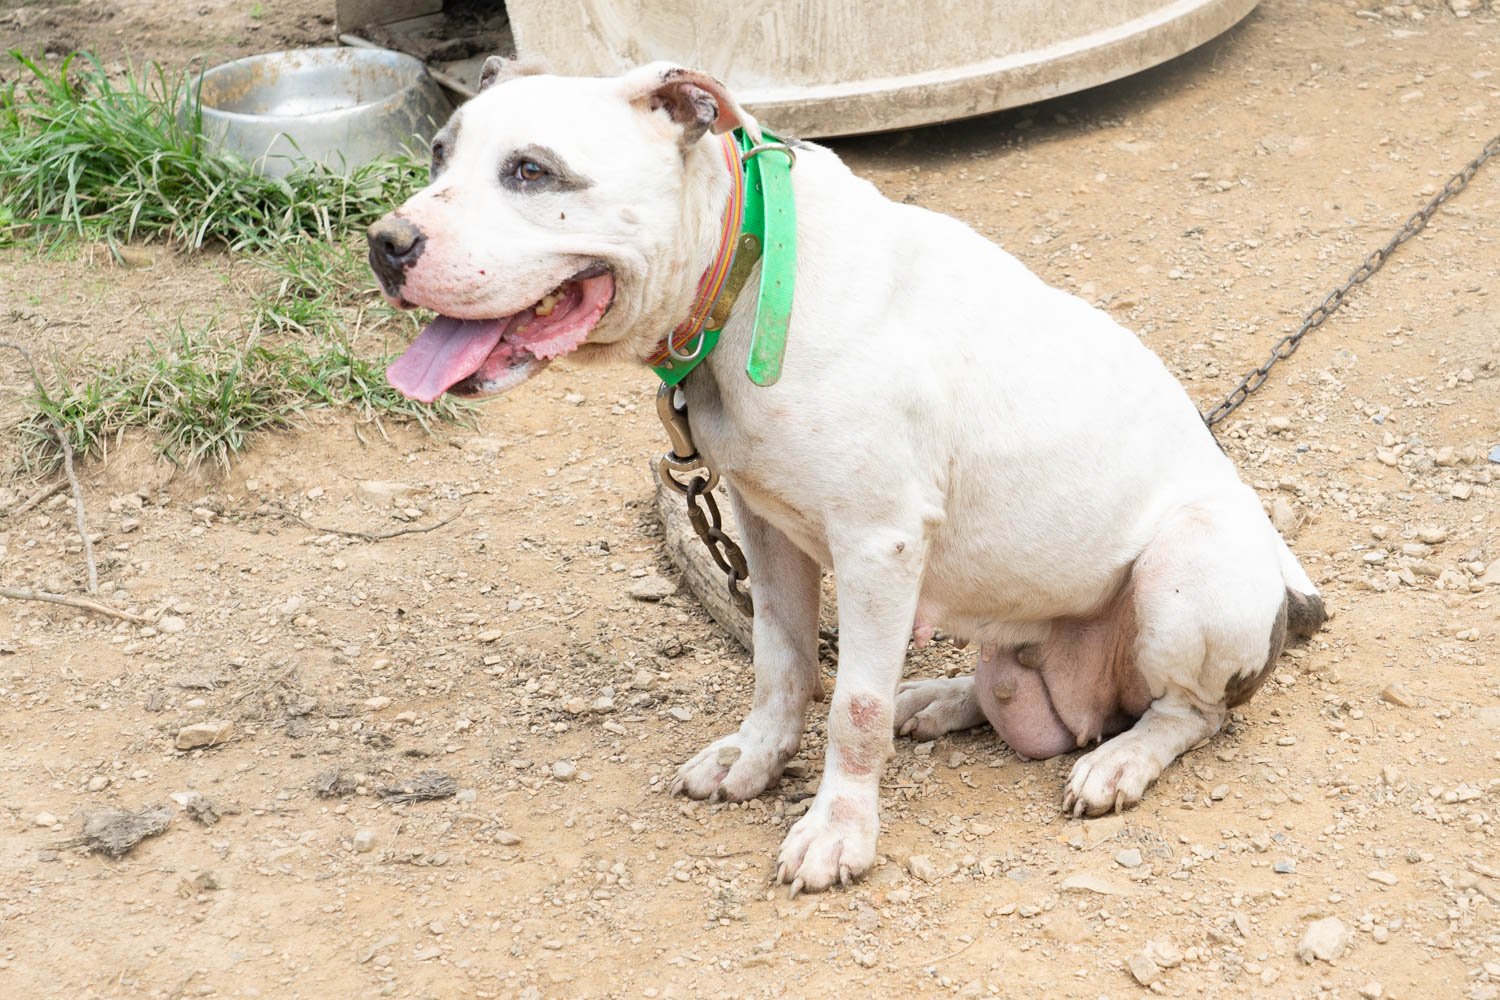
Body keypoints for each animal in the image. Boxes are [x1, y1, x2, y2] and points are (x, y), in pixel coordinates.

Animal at [366, 57, 1326, 895]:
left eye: (532, 171)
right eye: (437, 156)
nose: (386, 242)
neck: (745, 272)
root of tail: (1285, 588)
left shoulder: (876, 544)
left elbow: (852, 708)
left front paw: (838, 830)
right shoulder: (762, 525)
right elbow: (782, 661)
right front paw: (753, 757)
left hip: (1189, 562)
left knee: (1189, 714)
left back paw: (1119, 759)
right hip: (1015, 634)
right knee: (1002, 685)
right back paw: (937, 698)